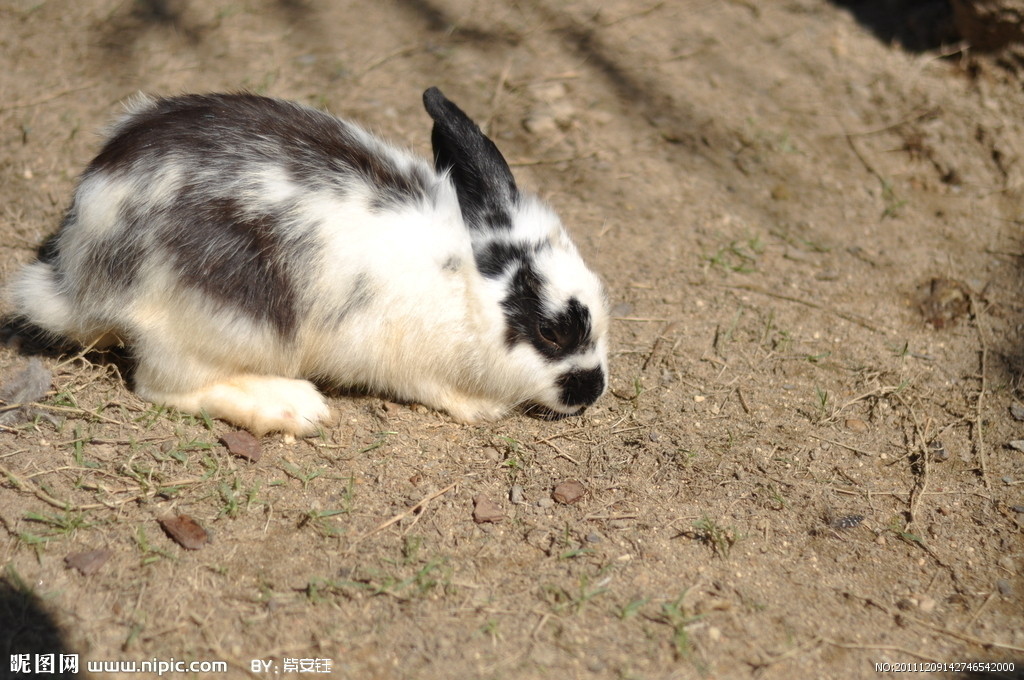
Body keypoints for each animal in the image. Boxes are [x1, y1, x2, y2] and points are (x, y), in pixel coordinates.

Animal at [6, 87, 606, 436]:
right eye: (552, 333)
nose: (593, 389)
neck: (463, 282)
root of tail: (78, 274)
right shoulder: (406, 360)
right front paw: (482, 408)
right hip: (217, 321)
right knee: (164, 386)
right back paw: (293, 407)